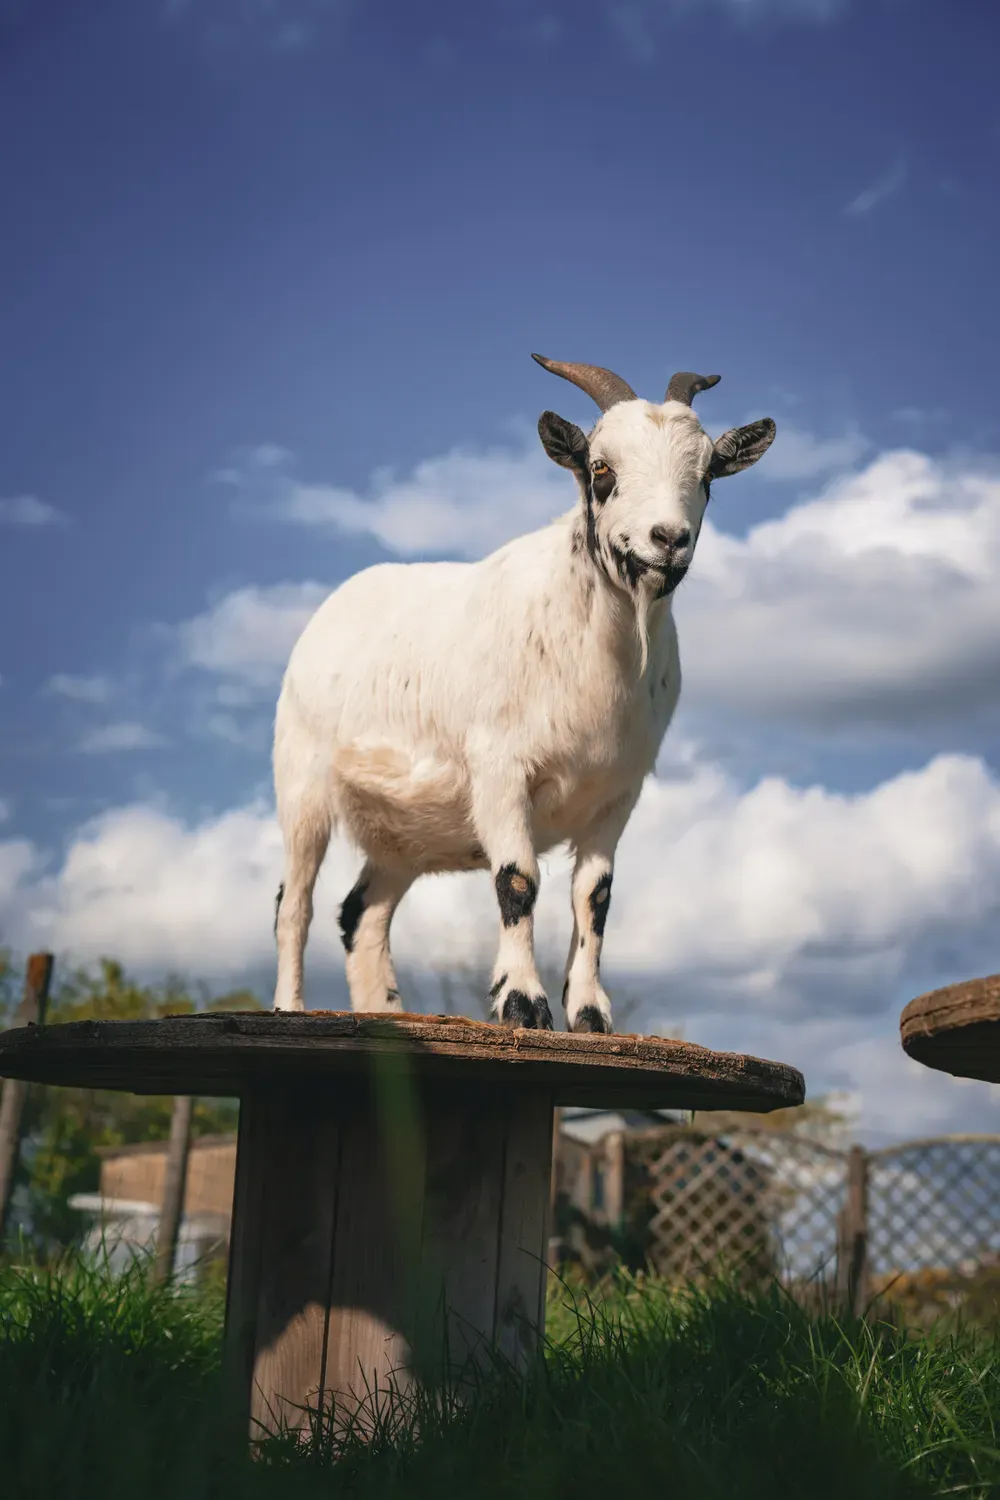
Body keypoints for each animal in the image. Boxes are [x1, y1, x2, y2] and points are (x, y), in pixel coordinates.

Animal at [272, 355, 776, 1031]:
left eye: (708, 478)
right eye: (601, 469)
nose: (668, 539)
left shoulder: (618, 792)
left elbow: (594, 897)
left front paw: (590, 1015)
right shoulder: (500, 768)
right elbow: (518, 880)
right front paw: (523, 1004)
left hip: (400, 834)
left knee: (362, 913)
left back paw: (383, 1018)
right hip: (301, 784)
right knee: (293, 902)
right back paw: (290, 1007)